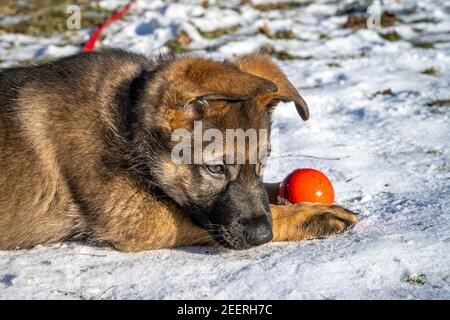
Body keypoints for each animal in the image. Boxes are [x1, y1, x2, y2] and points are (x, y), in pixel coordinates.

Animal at [0, 49, 358, 250]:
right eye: (215, 168)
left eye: (262, 163)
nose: (260, 237)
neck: (126, 122)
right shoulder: (141, 220)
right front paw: (313, 215)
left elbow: (269, 193)